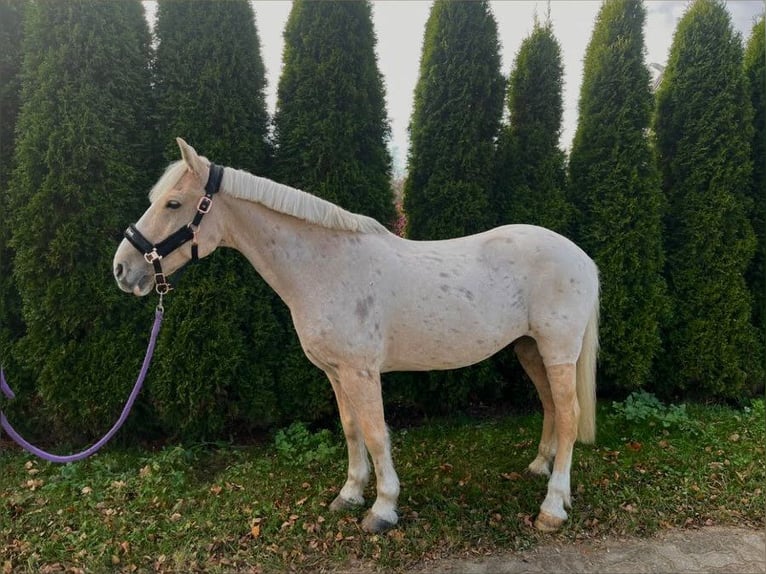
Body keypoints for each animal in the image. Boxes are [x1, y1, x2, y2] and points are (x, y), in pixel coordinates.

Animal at [113, 138, 599, 534]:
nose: (122, 269)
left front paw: (382, 510)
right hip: (530, 350)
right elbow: (351, 429)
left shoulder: (362, 372)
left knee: (570, 415)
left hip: (557, 351)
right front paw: (349, 495)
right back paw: (539, 467)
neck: (326, 267)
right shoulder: (335, 372)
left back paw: (553, 507)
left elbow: (375, 431)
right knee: (552, 407)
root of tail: (581, 256)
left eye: (173, 204)